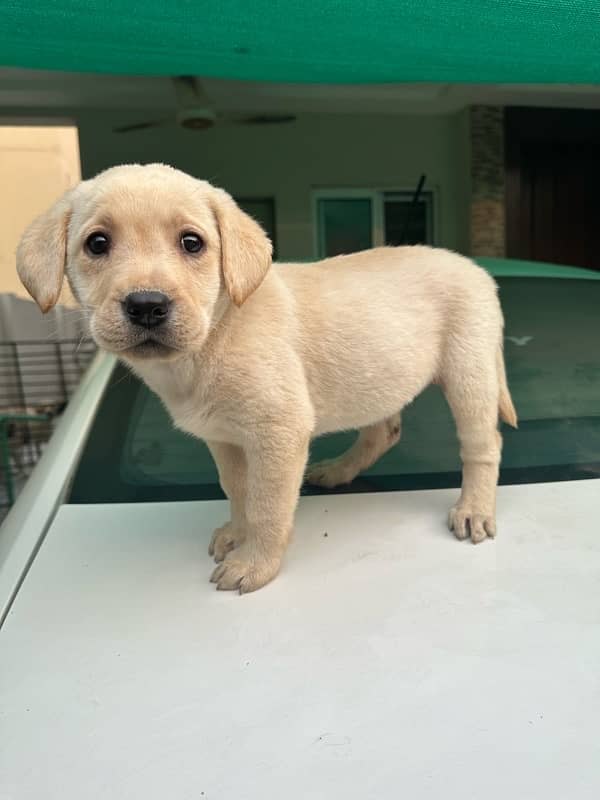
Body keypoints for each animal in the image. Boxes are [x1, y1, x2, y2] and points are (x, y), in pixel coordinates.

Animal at [17, 162, 516, 592]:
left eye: (192, 242)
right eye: (97, 243)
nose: (146, 305)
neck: (215, 335)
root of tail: (477, 269)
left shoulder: (279, 432)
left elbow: (267, 505)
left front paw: (255, 564)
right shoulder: (223, 438)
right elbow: (237, 490)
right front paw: (237, 534)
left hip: (469, 371)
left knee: (483, 445)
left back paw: (473, 509)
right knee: (384, 432)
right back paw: (339, 470)